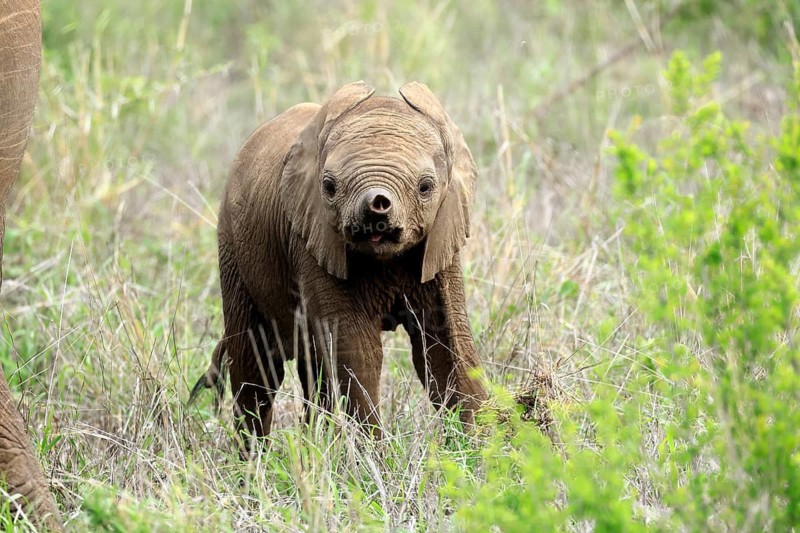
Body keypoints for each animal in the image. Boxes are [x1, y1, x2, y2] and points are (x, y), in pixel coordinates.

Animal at [191, 81, 488, 448]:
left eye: (426, 187)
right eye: (329, 187)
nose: (377, 206)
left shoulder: (441, 240)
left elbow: (446, 343)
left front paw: (480, 448)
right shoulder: (312, 238)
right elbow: (357, 350)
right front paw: (377, 456)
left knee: (311, 369)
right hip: (232, 246)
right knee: (256, 366)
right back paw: (255, 459)